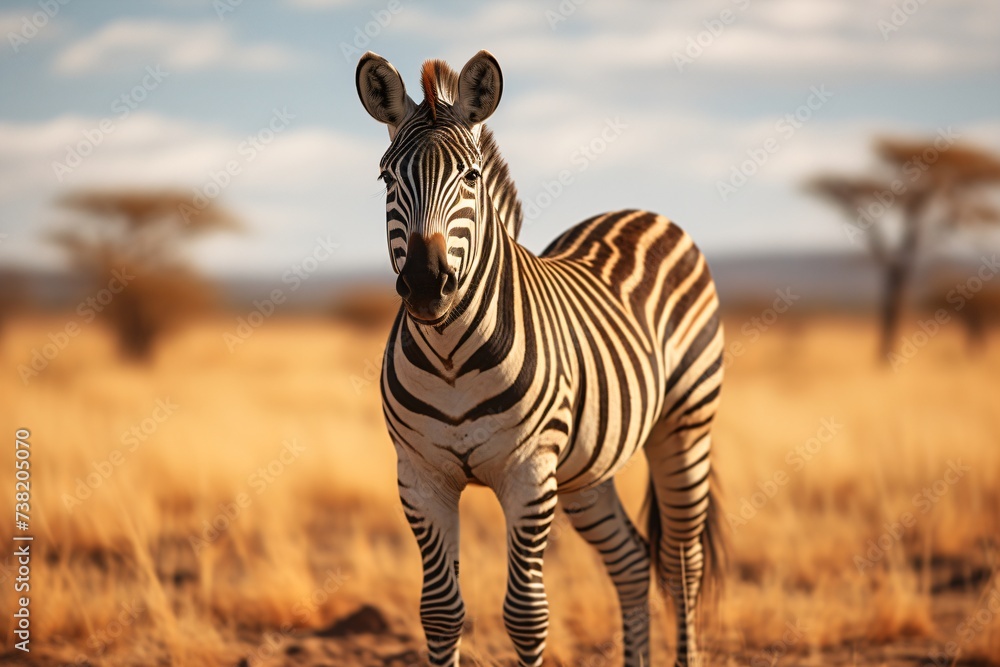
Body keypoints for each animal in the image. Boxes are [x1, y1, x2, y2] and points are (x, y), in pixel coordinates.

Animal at [355, 50, 724, 667]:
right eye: (387, 177)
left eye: (472, 177)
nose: (428, 286)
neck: (450, 359)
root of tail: (642, 211)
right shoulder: (421, 476)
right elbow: (440, 613)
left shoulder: (528, 474)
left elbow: (527, 617)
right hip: (585, 468)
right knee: (631, 561)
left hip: (685, 424)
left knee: (682, 563)